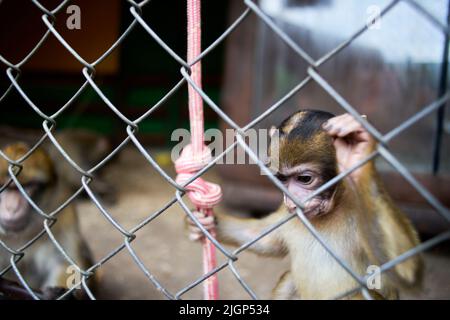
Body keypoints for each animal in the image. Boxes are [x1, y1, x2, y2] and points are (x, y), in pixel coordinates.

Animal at [188, 110, 424, 300]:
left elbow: (406, 269)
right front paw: (204, 222)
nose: (291, 198)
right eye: (281, 179)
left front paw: (358, 154)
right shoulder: (287, 212)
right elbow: (266, 241)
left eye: (304, 179)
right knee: (289, 280)